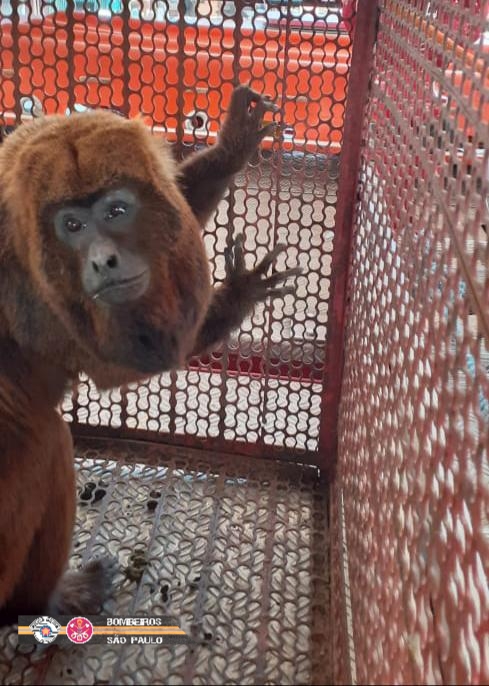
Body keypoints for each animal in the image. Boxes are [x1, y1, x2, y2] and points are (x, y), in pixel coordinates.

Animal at [0, 86, 300, 624]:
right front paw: (239, 293)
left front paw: (231, 148)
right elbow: (133, 360)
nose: (104, 261)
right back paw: (45, 599)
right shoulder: (34, 292)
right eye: (71, 225)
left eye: (117, 212)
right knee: (49, 439)